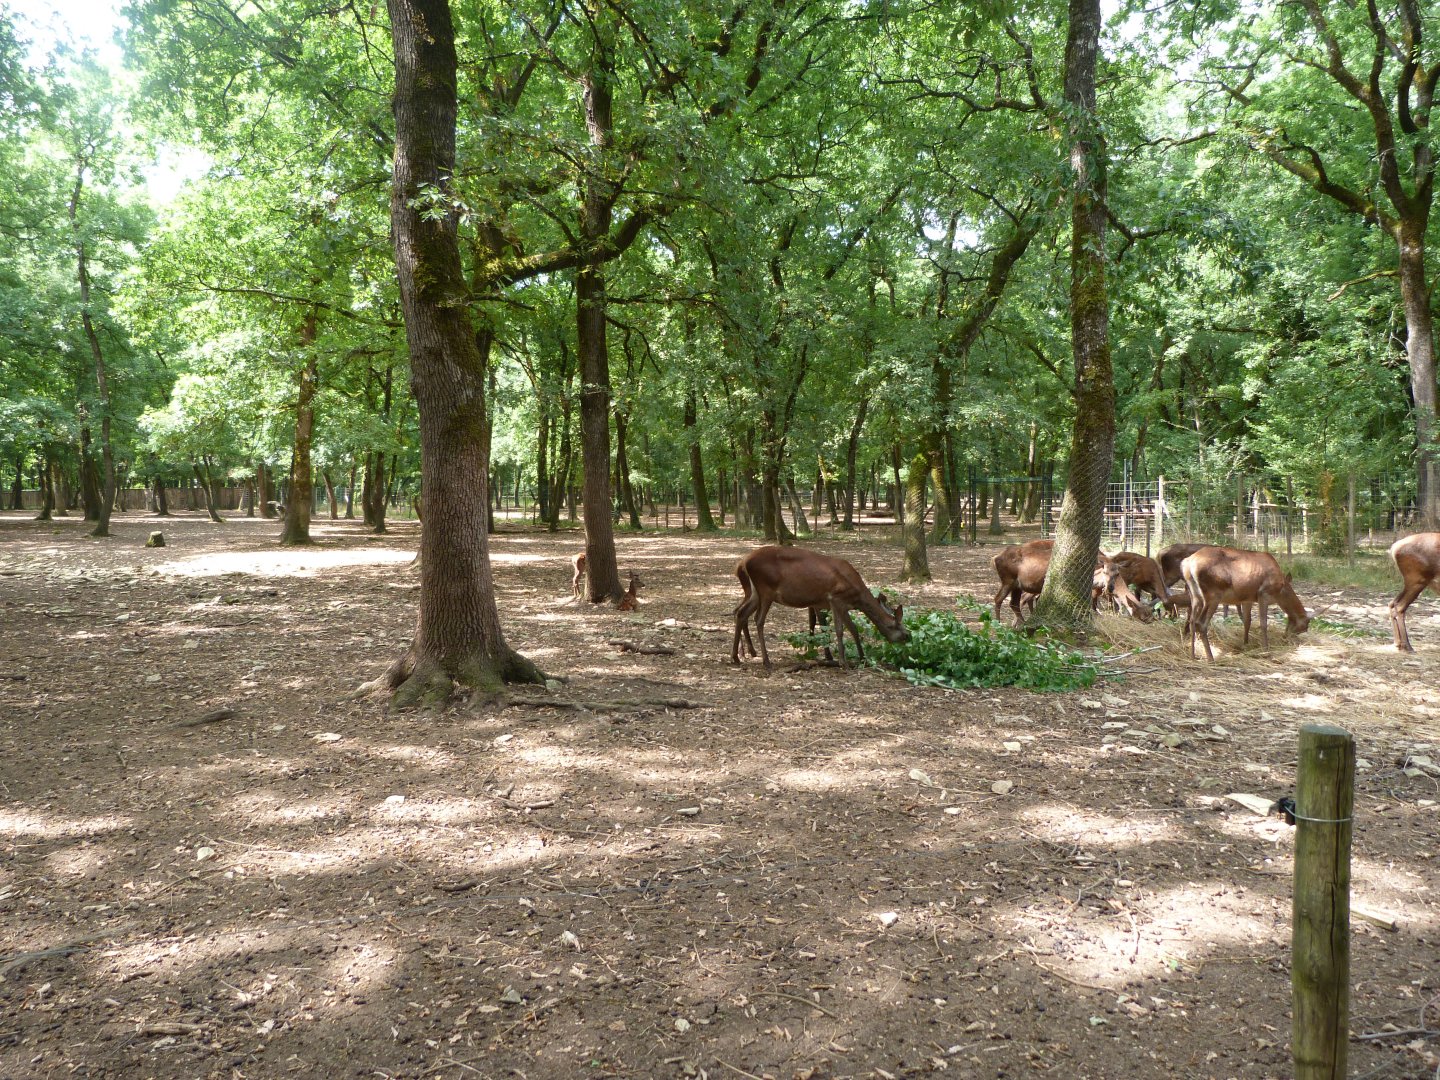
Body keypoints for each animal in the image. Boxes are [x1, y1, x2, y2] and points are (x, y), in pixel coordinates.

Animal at [730, 545, 908, 670]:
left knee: (741, 612)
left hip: (755, 593)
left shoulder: (834, 604)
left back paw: (736, 658)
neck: (857, 596)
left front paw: (862, 658)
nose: (909, 640)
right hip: (766, 589)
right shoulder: (836, 598)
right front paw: (844, 662)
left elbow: (848, 629)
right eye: (905, 634)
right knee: (758, 620)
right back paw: (766, 661)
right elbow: (841, 629)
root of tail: (743, 563)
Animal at [1181, 546, 1310, 661]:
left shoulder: (1247, 599)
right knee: (1200, 623)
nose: (1286, 638)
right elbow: (1263, 623)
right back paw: (1211, 658)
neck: (1280, 590)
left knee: (1192, 621)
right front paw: (1266, 650)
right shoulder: (1264, 594)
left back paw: (1192, 656)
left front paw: (1245, 644)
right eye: (1305, 626)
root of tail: (1187, 564)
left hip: (1195, 596)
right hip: (1213, 594)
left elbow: (1247, 621)